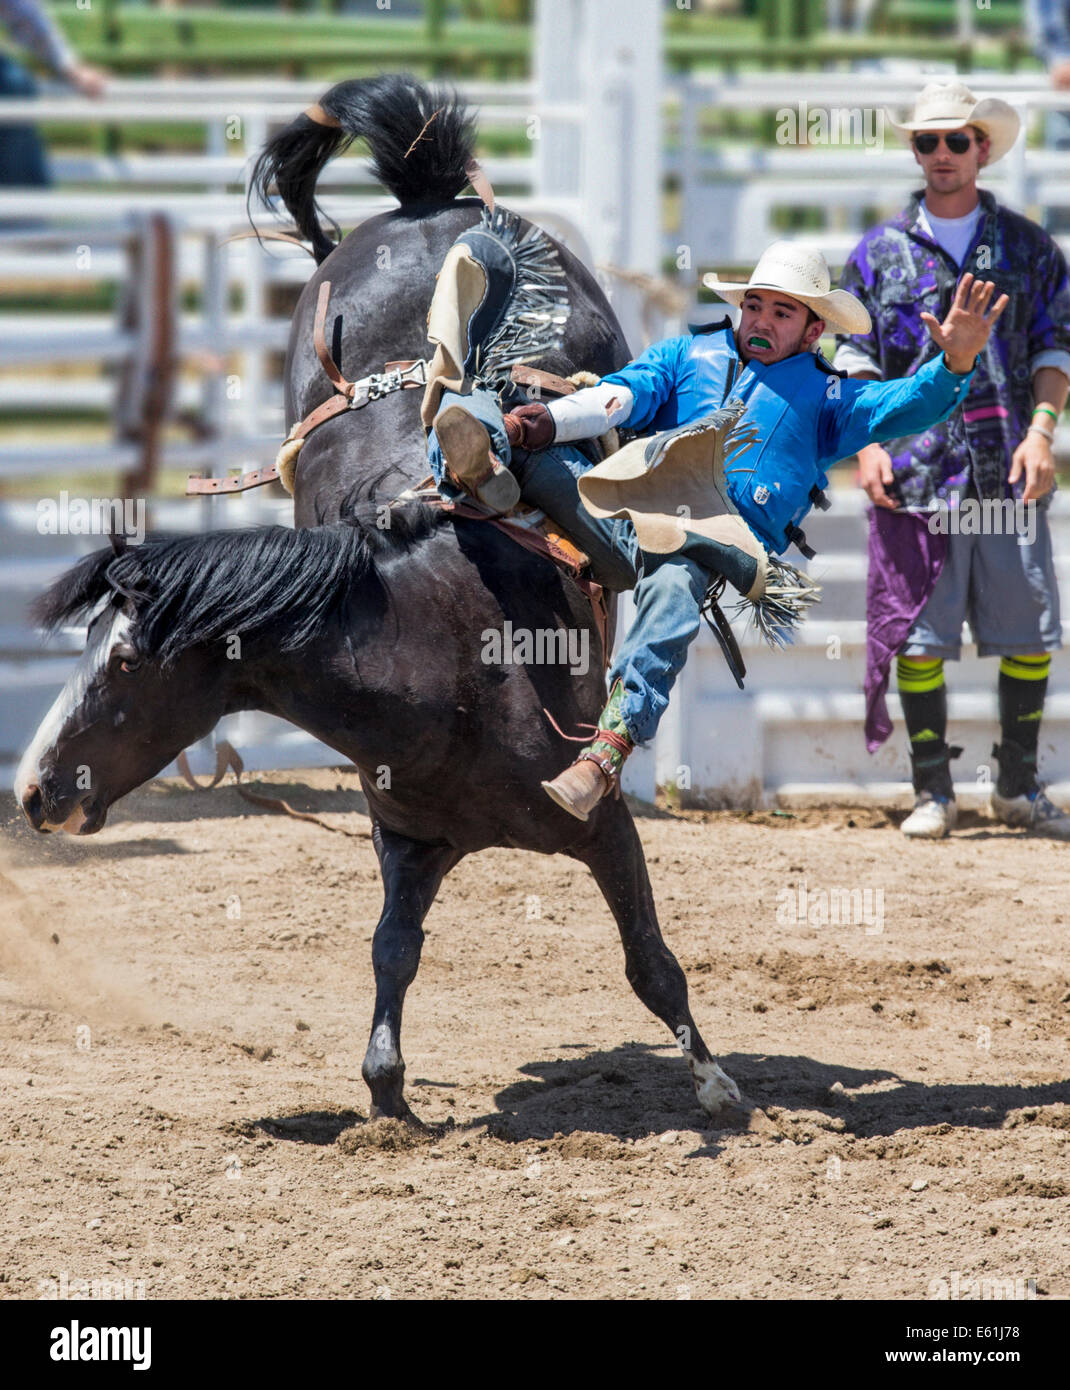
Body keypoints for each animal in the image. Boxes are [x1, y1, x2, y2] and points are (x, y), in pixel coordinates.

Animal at [15, 74, 743, 1126]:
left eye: (118, 660)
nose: (32, 792)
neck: (453, 664)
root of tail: (426, 199)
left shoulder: (603, 823)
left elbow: (650, 960)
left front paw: (716, 1082)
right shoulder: (404, 836)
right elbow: (392, 949)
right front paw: (389, 1098)